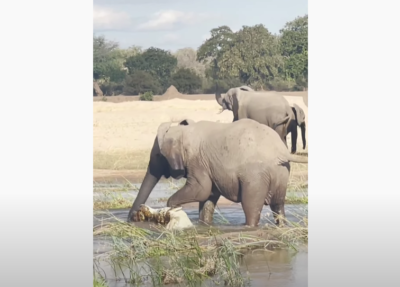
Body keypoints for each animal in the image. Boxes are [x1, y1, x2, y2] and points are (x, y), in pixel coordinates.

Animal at [126, 117, 308, 227]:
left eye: (158, 155)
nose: (132, 218)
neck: (182, 132)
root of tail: (281, 152)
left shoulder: (197, 161)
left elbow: (201, 189)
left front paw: (170, 208)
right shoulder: (208, 166)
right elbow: (208, 197)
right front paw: (204, 225)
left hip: (255, 177)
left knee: (251, 206)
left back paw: (248, 226)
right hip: (280, 173)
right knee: (278, 206)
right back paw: (282, 225)